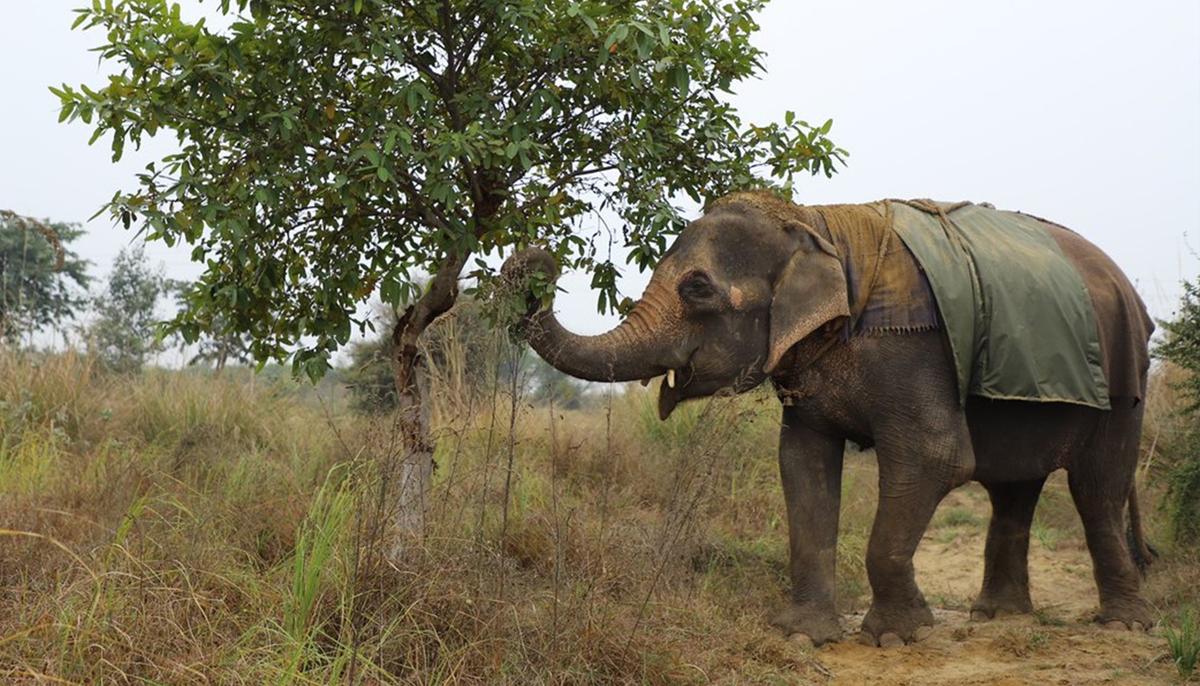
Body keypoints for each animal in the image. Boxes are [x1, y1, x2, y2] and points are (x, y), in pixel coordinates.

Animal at [501, 191, 1156, 648]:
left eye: (698, 289)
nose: (536, 257)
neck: (813, 224)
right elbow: (804, 463)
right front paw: (801, 634)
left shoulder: (914, 349)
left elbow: (935, 458)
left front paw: (899, 636)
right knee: (1013, 489)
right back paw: (999, 617)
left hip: (1126, 381)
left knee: (1096, 488)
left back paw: (1122, 626)